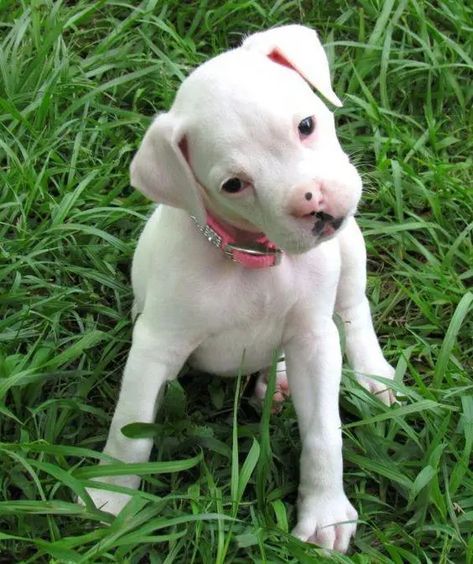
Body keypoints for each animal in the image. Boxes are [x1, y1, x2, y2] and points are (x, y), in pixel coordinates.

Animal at [87, 25, 394, 552]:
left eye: (306, 125)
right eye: (234, 184)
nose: (315, 205)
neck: (252, 259)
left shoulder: (315, 339)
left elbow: (324, 433)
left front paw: (325, 513)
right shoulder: (155, 346)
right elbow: (130, 426)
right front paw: (111, 497)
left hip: (350, 248)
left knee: (354, 310)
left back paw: (371, 373)